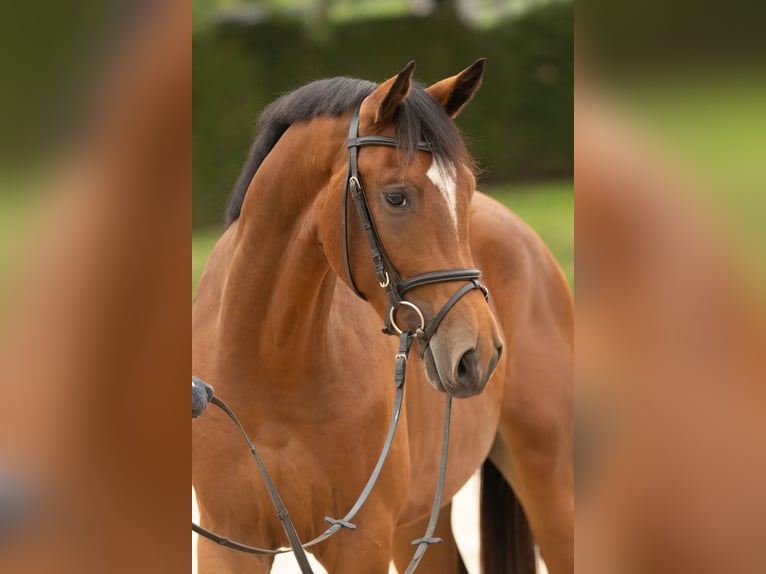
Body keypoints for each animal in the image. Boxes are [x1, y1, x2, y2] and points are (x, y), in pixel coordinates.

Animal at [195, 60, 572, 572]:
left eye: (468, 190)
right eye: (396, 197)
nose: (479, 353)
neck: (271, 366)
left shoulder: (361, 541)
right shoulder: (226, 541)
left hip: (549, 479)